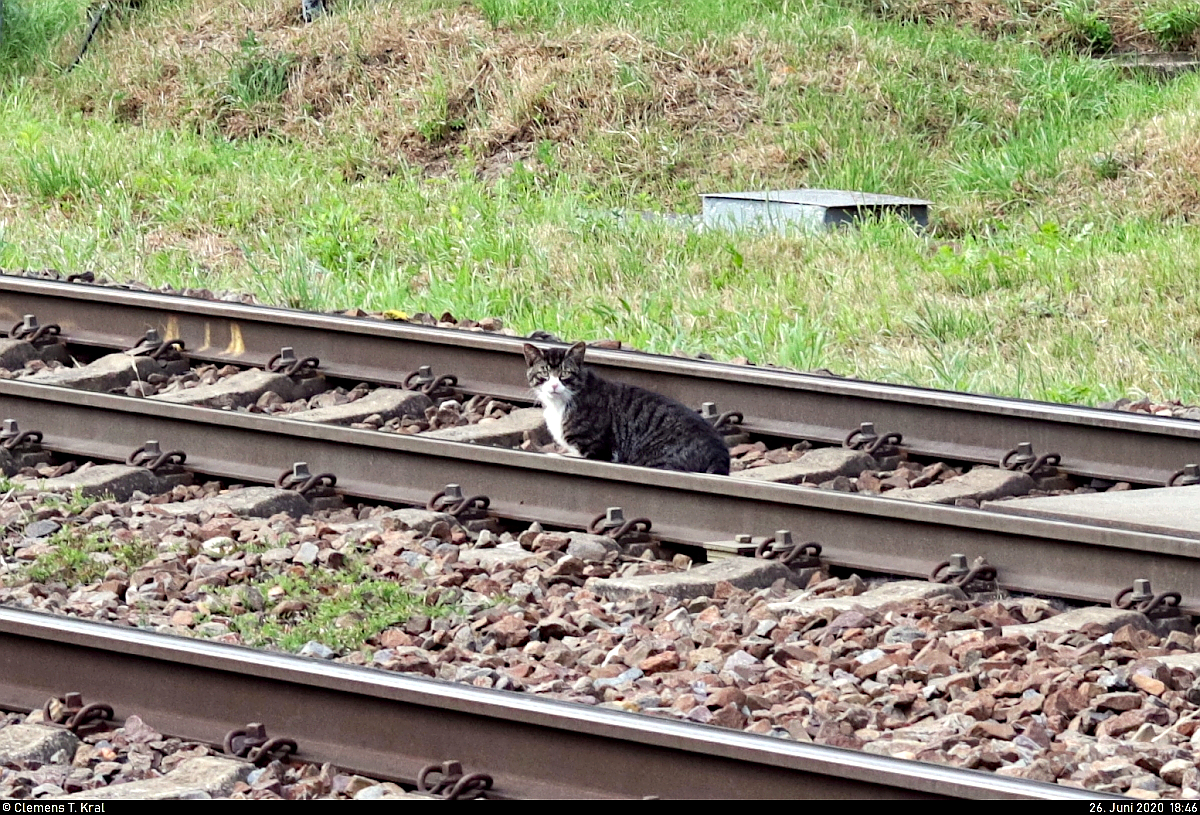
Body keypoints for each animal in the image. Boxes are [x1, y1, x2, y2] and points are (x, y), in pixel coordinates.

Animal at [518, 340, 724, 475]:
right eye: (544, 373)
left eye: (565, 373)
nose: (554, 385)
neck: (559, 405)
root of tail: (719, 453)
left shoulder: (598, 449)